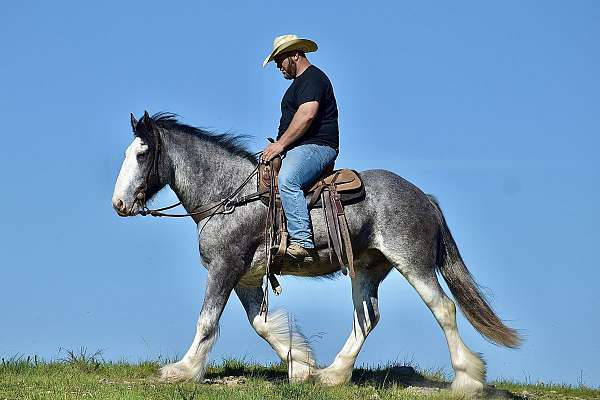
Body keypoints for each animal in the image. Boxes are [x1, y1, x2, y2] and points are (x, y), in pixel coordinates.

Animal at [111, 111, 520, 396]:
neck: (229, 195)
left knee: (443, 309)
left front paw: (182, 370)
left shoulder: (224, 267)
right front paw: (302, 367)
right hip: (367, 269)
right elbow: (261, 324)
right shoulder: (246, 276)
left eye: (143, 154)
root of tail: (424, 199)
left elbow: (207, 321)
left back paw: (467, 380)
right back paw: (333, 375)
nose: (119, 204)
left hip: (413, 264)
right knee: (366, 319)